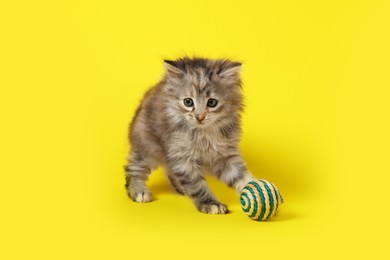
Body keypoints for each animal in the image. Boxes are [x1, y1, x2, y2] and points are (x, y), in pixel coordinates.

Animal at [125, 57, 256, 213]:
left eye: (212, 102)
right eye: (188, 102)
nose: (199, 117)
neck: (204, 134)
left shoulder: (225, 155)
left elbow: (241, 176)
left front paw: (258, 189)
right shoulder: (183, 157)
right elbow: (197, 185)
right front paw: (211, 203)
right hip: (147, 147)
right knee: (133, 168)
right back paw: (139, 191)